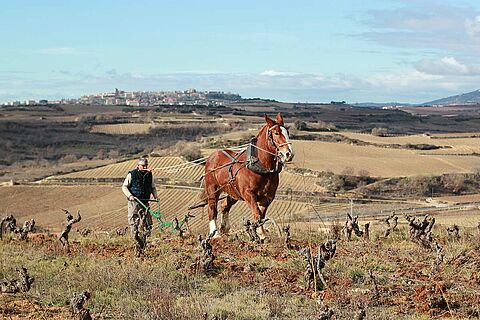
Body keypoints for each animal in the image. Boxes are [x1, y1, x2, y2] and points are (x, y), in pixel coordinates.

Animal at [202, 111, 292, 239]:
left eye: (287, 132)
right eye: (276, 133)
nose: (289, 154)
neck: (262, 167)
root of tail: (212, 156)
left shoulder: (268, 197)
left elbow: (262, 215)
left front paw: (261, 233)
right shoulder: (248, 194)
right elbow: (257, 213)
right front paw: (260, 234)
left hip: (233, 191)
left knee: (224, 205)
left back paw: (225, 228)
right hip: (212, 189)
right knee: (212, 208)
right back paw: (215, 234)